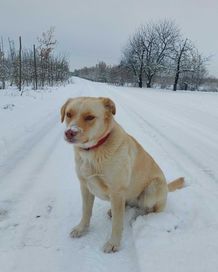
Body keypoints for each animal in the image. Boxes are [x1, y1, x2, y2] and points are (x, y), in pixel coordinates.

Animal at [60, 96, 184, 253]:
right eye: (69, 114)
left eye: (90, 117)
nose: (70, 132)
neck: (94, 151)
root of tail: (167, 187)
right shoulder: (85, 186)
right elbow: (86, 211)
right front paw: (81, 229)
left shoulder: (116, 191)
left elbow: (117, 223)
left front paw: (113, 243)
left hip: (151, 190)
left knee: (153, 210)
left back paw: (140, 217)